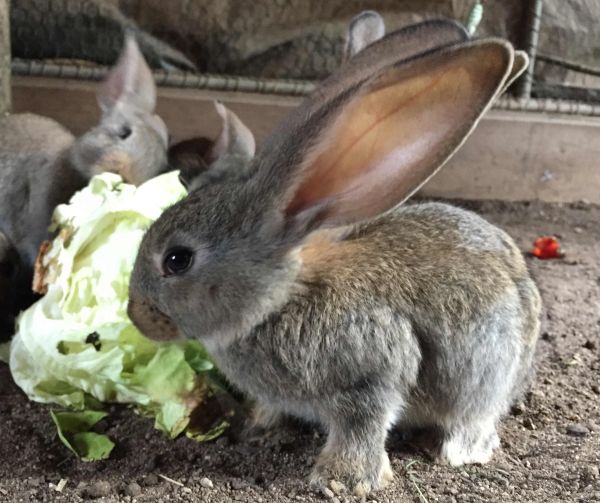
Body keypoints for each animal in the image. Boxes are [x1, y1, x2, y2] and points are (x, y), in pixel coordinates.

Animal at [127, 18, 540, 496]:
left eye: (177, 260)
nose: (135, 315)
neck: (277, 301)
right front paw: (257, 427)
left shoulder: (369, 375)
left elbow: (363, 423)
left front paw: (343, 479)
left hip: (485, 381)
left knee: (475, 419)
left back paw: (455, 450)